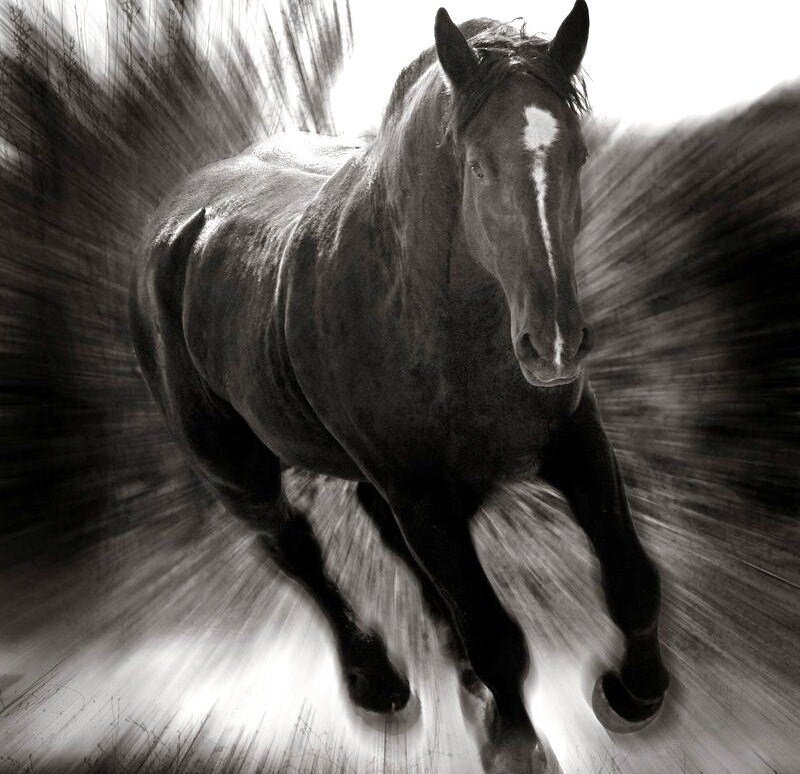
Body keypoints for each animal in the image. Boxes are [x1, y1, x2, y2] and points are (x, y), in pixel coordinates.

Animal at [129, 2, 670, 771]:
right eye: (477, 165)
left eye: (578, 156)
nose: (556, 346)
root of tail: (174, 222)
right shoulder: (420, 496)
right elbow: (495, 634)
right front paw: (515, 741)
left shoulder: (573, 440)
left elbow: (630, 576)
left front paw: (636, 691)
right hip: (237, 472)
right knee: (297, 552)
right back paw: (375, 680)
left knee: (371, 530)